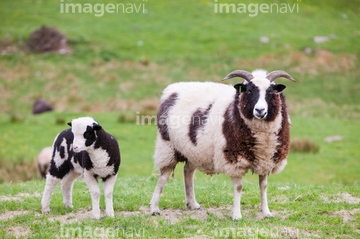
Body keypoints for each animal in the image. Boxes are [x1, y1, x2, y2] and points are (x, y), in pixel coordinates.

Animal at [149, 68, 296, 219]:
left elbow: (263, 186)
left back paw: (192, 203)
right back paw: (154, 208)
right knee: (163, 177)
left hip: (193, 151)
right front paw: (236, 215)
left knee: (188, 172)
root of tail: (171, 90)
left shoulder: (266, 160)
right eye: (248, 91)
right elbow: (239, 187)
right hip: (167, 147)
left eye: (271, 92)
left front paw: (266, 212)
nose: (260, 110)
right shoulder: (235, 160)